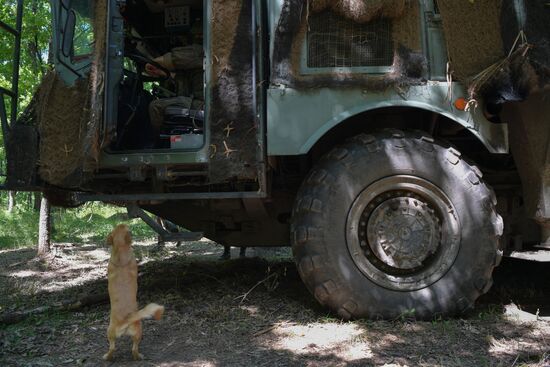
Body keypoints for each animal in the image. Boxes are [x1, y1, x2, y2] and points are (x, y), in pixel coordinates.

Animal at [103, 224, 164, 362]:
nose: (125, 223)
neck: (120, 253)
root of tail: (125, 320)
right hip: (137, 332)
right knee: (132, 349)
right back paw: (137, 357)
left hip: (111, 333)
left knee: (113, 348)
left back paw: (108, 357)